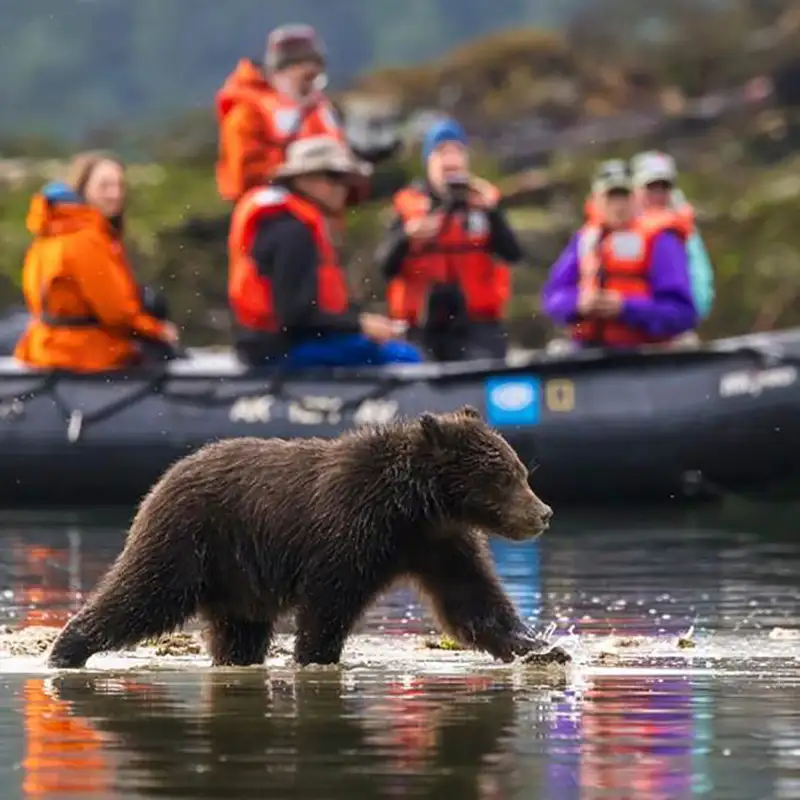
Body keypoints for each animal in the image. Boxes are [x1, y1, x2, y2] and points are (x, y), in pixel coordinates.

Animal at [46, 405, 558, 669]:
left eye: (521, 471)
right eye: (505, 478)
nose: (543, 513)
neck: (413, 507)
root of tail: (166, 475)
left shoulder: (439, 544)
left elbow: (472, 603)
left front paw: (541, 647)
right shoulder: (349, 530)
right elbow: (328, 604)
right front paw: (316, 657)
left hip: (236, 579)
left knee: (238, 632)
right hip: (191, 539)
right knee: (142, 594)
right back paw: (67, 649)